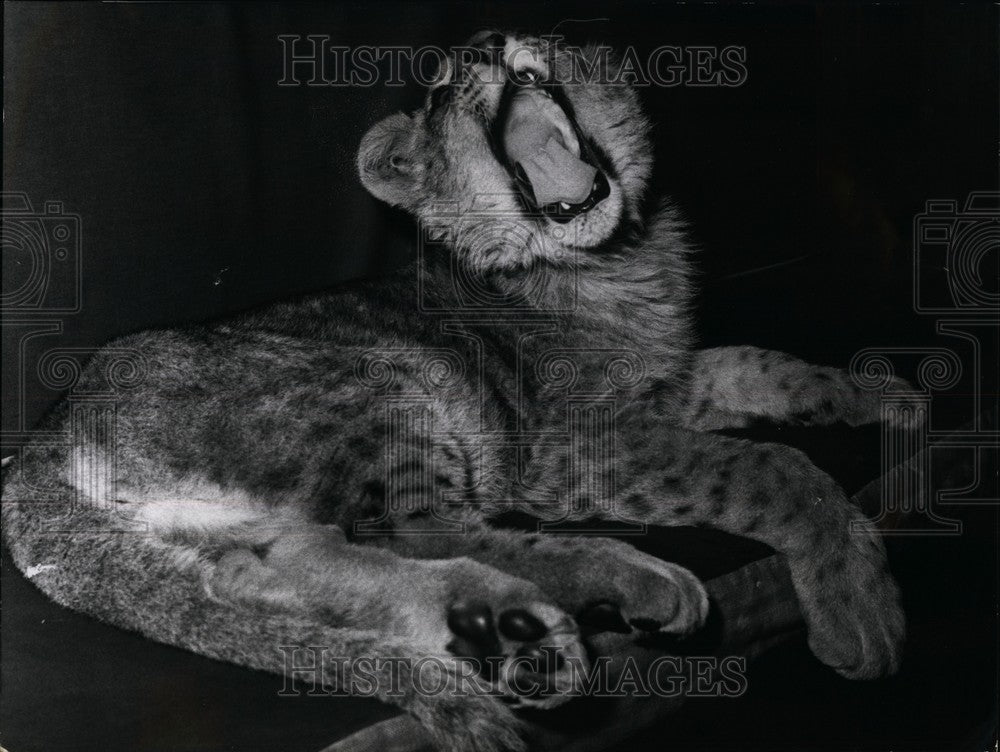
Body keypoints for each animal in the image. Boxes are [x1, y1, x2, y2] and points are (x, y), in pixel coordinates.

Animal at [1, 31, 906, 752]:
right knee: (421, 527)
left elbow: (761, 363)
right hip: (372, 389)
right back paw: (579, 601)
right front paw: (859, 610)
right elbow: (769, 469)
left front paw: (888, 398)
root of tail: (45, 440)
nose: (484, 46)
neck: (615, 259)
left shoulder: (669, 384)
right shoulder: (567, 446)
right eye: (440, 93)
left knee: (268, 567)